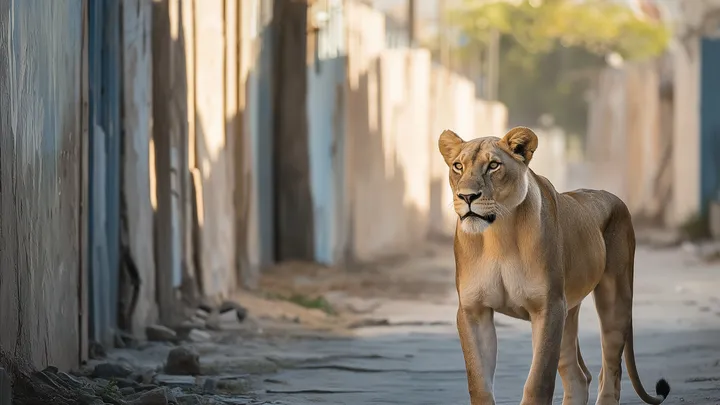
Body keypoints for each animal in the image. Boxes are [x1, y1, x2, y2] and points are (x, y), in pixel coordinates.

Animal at [437, 127, 670, 405]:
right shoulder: (474, 310)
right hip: (568, 313)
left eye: (493, 165)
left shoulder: (548, 307)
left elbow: (538, 381)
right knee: (579, 376)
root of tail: (612, 196)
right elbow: (479, 383)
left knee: (611, 371)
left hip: (614, 299)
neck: (498, 237)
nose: (467, 196)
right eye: (458, 166)